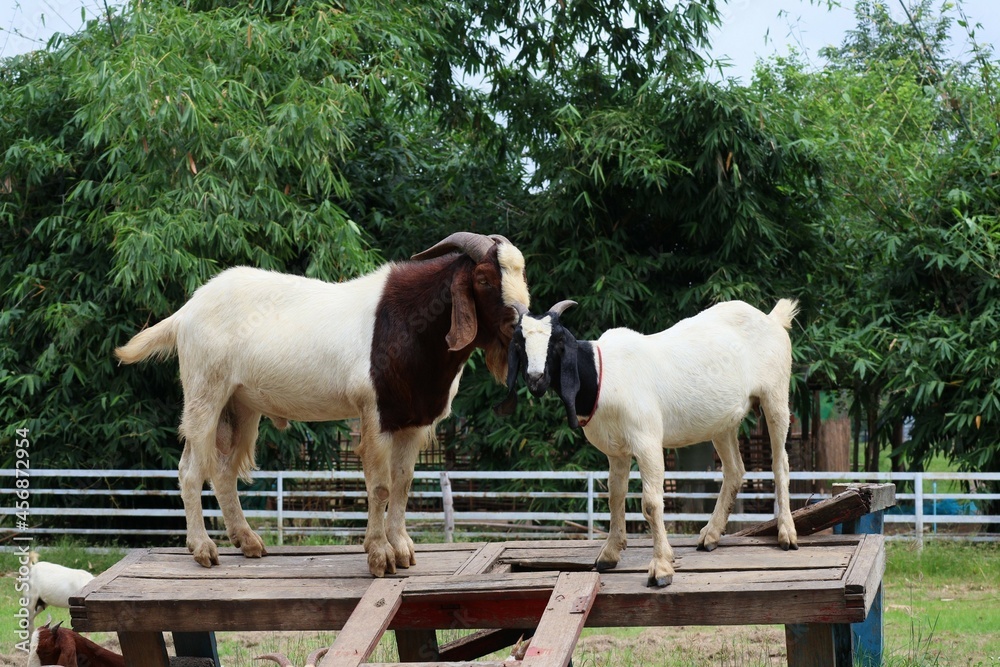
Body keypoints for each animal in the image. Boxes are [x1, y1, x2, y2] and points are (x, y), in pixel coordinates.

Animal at [116, 232, 530, 577]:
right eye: (484, 279)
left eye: (522, 275)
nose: (520, 328)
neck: (411, 325)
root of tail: (185, 313)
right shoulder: (374, 412)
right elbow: (381, 486)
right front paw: (379, 556)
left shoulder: (413, 420)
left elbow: (403, 483)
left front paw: (402, 550)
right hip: (205, 389)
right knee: (190, 469)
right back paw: (203, 549)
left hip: (241, 403)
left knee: (223, 470)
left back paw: (247, 542)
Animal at [500, 298, 799, 587]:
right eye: (519, 342)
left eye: (558, 341)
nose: (536, 378)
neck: (602, 374)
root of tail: (772, 318)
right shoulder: (616, 451)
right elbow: (615, 496)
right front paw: (609, 554)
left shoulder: (647, 441)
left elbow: (651, 503)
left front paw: (661, 568)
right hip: (724, 421)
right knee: (735, 469)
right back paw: (711, 535)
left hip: (775, 394)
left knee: (780, 463)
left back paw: (787, 534)